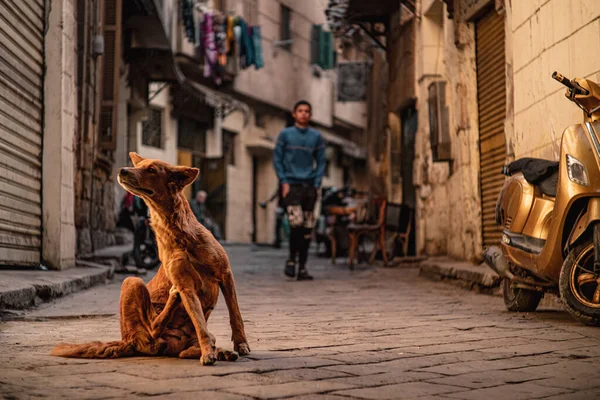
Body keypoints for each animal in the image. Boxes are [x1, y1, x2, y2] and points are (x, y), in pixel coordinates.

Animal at [50, 153, 250, 366]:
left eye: (152, 170)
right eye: (141, 166)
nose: (122, 170)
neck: (177, 230)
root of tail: (128, 341)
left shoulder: (225, 274)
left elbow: (235, 314)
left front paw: (241, 344)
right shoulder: (185, 285)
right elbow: (199, 322)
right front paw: (208, 354)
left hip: (181, 339)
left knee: (186, 350)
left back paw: (220, 351)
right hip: (133, 281)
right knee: (154, 326)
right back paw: (177, 305)